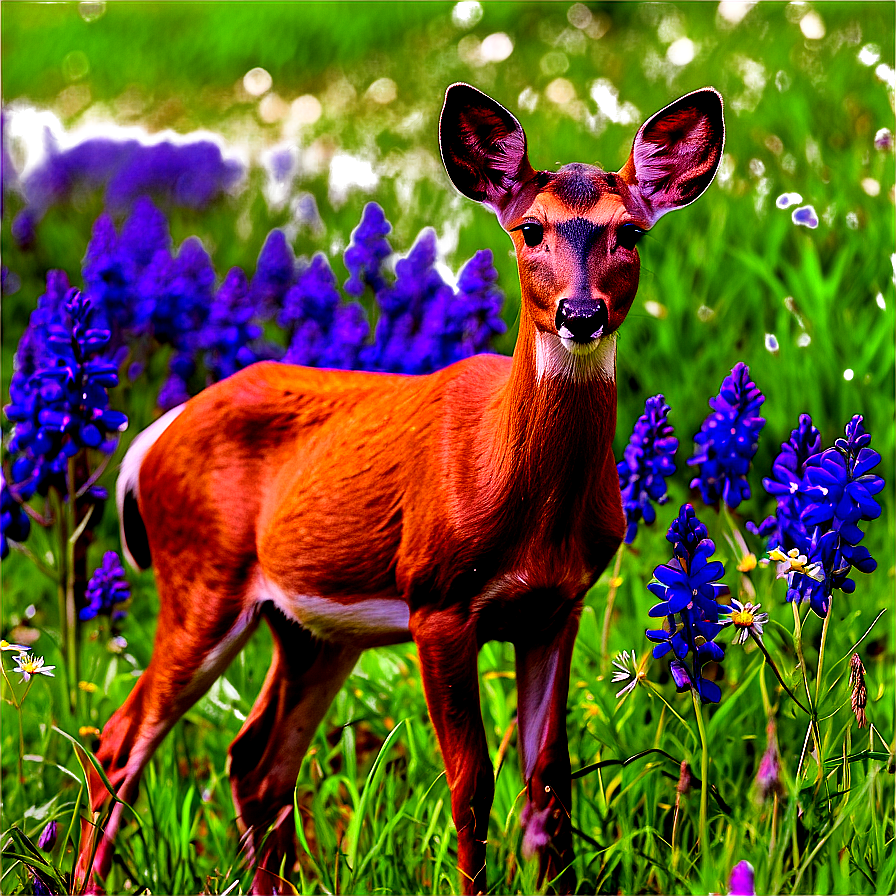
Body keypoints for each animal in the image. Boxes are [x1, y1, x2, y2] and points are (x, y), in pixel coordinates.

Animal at [75, 82, 720, 888]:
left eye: (630, 232)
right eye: (530, 229)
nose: (580, 312)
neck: (523, 503)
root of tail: (150, 439)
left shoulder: (557, 604)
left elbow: (548, 778)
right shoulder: (436, 596)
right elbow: (472, 782)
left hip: (308, 627)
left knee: (255, 759)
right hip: (201, 578)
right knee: (120, 741)